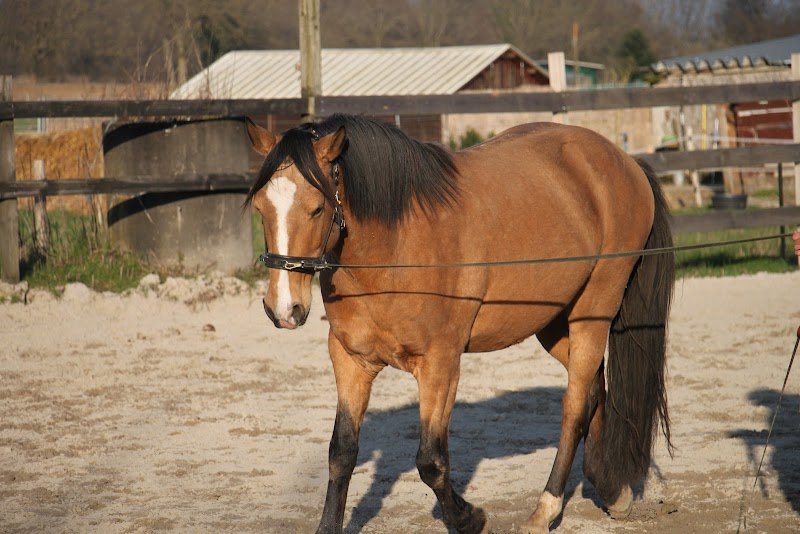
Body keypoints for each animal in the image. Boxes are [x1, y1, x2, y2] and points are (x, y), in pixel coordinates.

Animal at [244, 114, 674, 533]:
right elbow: (342, 452)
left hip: (593, 311)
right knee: (594, 390)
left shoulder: (440, 364)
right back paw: (612, 490)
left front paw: (469, 518)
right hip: (553, 323)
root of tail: (625, 161)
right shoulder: (351, 361)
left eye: (316, 208)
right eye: (261, 209)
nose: (284, 309)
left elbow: (430, 461)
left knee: (574, 405)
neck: (396, 249)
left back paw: (545, 510)